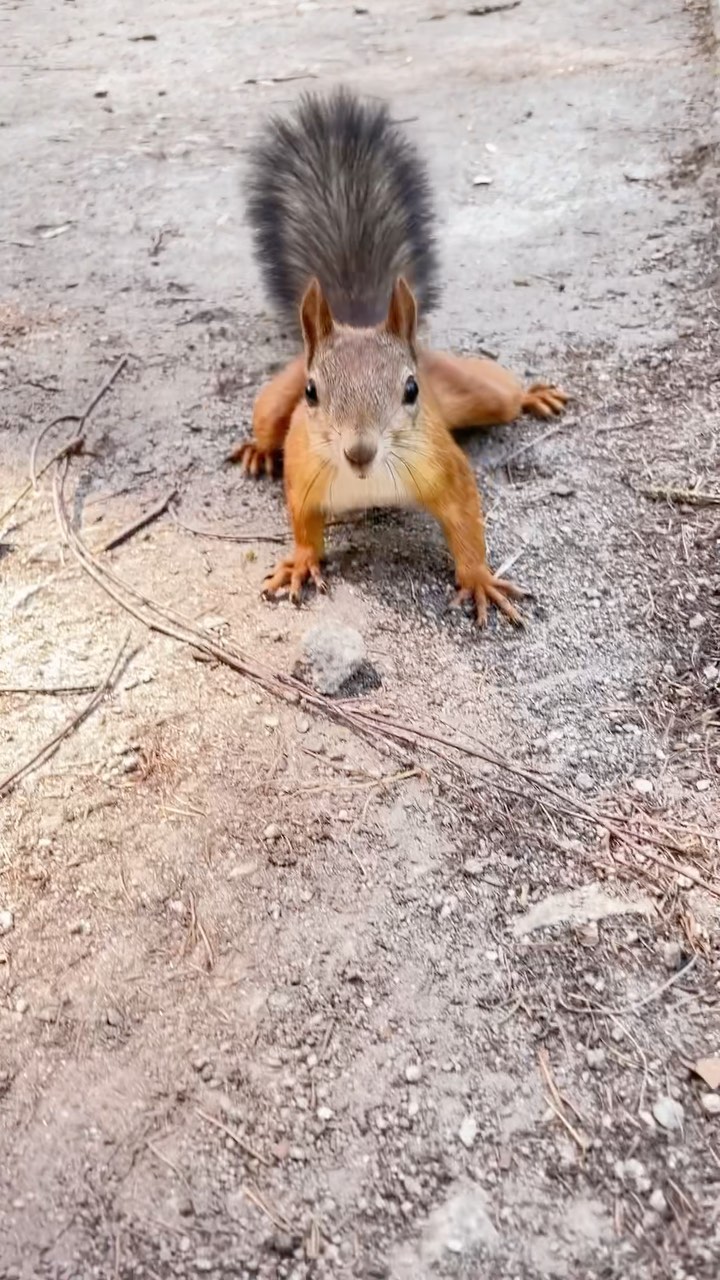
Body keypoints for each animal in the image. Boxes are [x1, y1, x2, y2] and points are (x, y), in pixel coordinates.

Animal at [228, 89, 567, 625]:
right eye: (311, 392)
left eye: (411, 389)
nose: (360, 452)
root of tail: (358, 318)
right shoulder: (302, 468)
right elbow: (302, 523)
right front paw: (300, 563)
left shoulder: (444, 465)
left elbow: (467, 521)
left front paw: (478, 580)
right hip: (272, 404)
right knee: (265, 420)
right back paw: (259, 450)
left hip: (476, 392)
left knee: (501, 396)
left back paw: (534, 395)